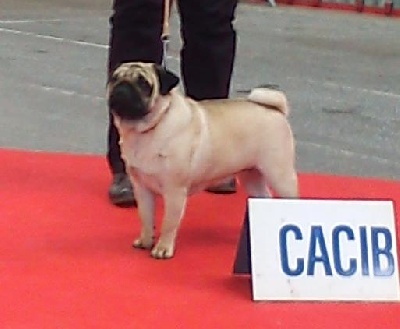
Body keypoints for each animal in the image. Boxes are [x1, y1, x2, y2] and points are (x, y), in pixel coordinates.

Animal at [108, 61, 298, 258]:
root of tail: (275, 110)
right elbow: (145, 217)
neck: (147, 128)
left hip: (279, 175)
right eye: (114, 79)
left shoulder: (174, 191)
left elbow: (169, 223)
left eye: (144, 84)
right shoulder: (142, 188)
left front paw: (162, 248)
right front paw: (146, 241)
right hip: (251, 176)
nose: (122, 87)